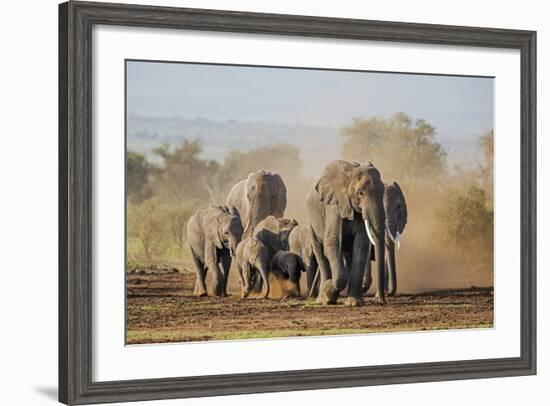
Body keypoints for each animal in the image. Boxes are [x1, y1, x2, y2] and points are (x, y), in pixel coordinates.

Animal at [306, 159, 388, 304]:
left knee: (349, 255)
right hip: (311, 222)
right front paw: (328, 290)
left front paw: (354, 303)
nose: (381, 302)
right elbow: (332, 241)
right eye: (360, 193)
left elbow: (361, 246)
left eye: (383, 191)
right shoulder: (333, 205)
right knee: (320, 254)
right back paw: (322, 299)